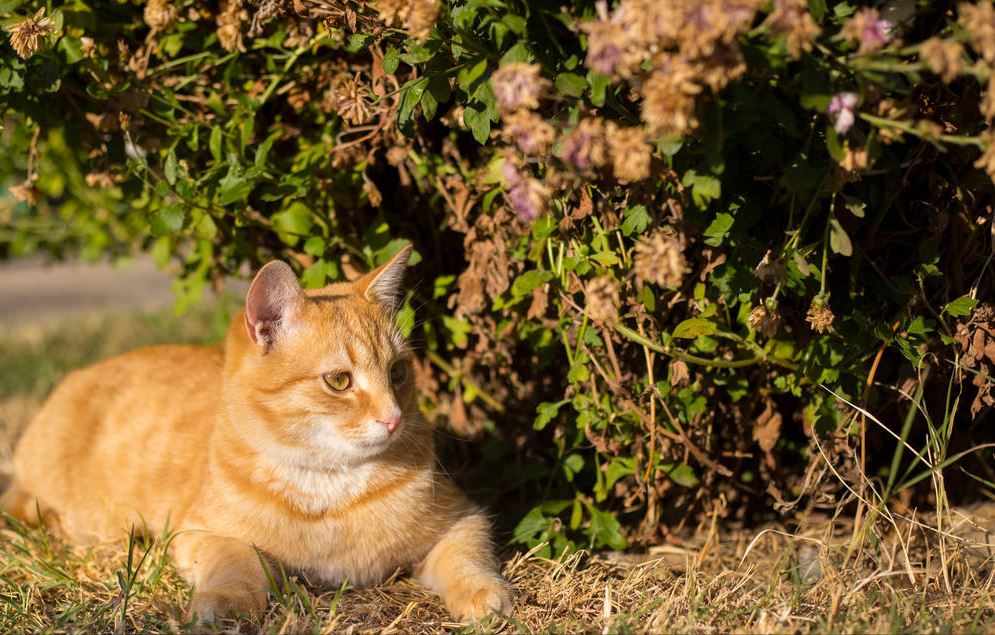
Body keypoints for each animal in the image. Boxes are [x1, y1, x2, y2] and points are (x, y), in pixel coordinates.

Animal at [1, 246, 512, 624]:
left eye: (399, 372)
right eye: (339, 381)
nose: (393, 419)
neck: (332, 491)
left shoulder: (463, 518)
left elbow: (467, 559)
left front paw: (485, 595)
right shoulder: (200, 533)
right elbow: (241, 563)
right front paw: (228, 602)